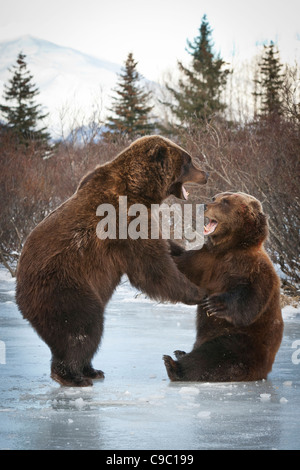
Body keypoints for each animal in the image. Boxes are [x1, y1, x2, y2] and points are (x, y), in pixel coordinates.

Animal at [15, 135, 209, 386]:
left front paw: (180, 250)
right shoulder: (124, 221)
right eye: (189, 160)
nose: (205, 174)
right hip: (63, 288)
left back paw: (91, 370)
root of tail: (20, 293)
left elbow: (162, 248)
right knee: (82, 326)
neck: (140, 188)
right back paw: (73, 375)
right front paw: (198, 292)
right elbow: (151, 266)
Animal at [164, 191, 284, 382]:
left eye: (225, 202)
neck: (228, 248)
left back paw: (174, 365)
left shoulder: (252, 269)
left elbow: (249, 301)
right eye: (215, 198)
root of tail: (264, 371)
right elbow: (179, 265)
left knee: (212, 356)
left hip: (239, 341)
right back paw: (180, 354)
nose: (204, 205)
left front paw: (214, 303)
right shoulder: (204, 260)